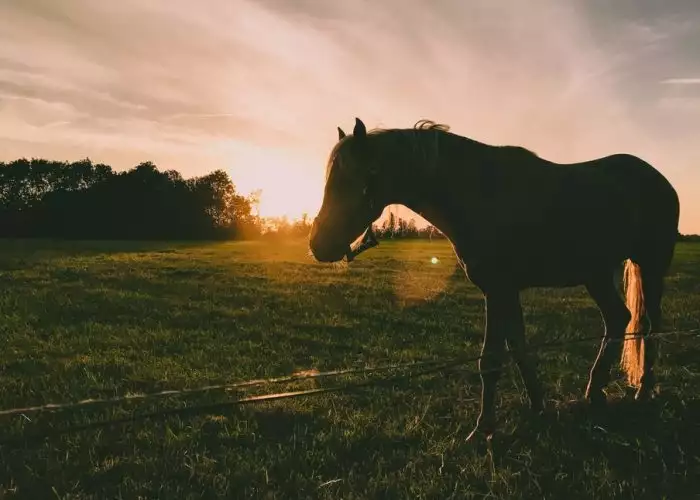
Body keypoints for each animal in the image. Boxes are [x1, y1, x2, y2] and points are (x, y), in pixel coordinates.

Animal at [308, 117, 680, 442]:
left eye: (356, 177)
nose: (318, 244)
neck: (480, 194)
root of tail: (659, 179)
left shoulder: (498, 290)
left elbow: (490, 360)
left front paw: (484, 429)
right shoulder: (503, 291)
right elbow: (518, 349)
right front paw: (539, 407)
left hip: (650, 266)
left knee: (649, 325)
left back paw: (643, 390)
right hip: (597, 274)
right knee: (618, 319)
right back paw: (595, 392)